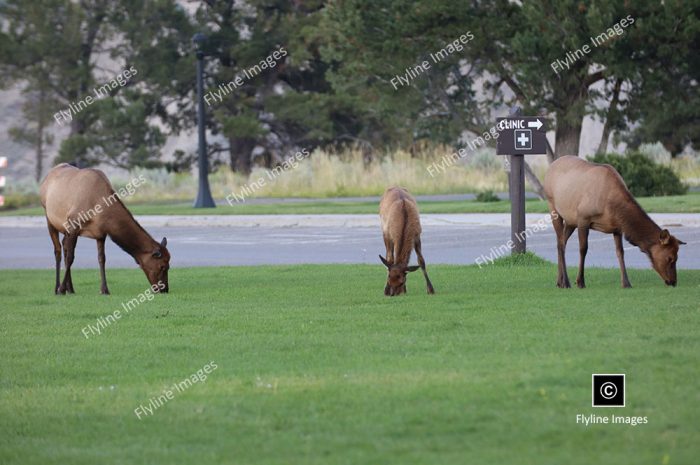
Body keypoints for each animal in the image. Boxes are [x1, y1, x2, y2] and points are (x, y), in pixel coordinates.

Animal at [39, 163, 170, 294]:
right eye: (162, 266)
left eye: (168, 265)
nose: (165, 289)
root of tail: (46, 178)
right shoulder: (73, 224)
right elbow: (71, 258)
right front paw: (61, 289)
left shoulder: (101, 233)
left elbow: (102, 258)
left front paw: (104, 289)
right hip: (48, 216)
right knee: (58, 251)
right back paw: (57, 288)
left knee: (64, 246)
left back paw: (70, 288)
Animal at [544, 156, 688, 286]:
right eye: (670, 258)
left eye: (677, 257)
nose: (673, 282)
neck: (612, 205)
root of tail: (551, 166)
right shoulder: (583, 218)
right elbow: (583, 249)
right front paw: (580, 282)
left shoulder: (617, 227)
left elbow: (620, 252)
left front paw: (626, 283)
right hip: (553, 208)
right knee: (561, 243)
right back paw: (566, 282)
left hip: (570, 221)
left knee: (561, 242)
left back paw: (559, 281)